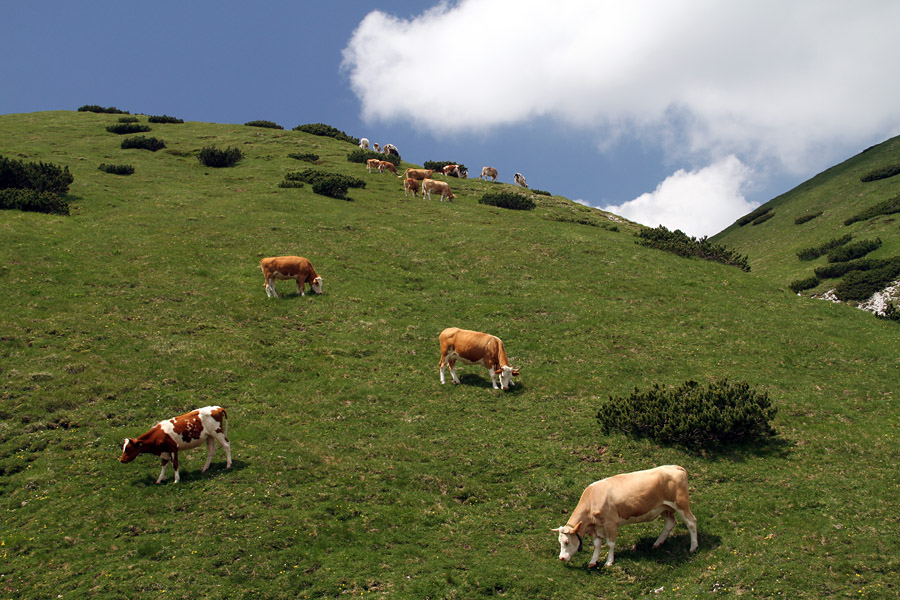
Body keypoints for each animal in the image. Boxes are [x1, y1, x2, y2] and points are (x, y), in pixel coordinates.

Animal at [552, 464, 700, 568]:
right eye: (559, 542)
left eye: (567, 541)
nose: (561, 558)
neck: (593, 497)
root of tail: (675, 467)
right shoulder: (596, 527)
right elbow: (597, 544)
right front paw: (593, 561)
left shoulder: (611, 523)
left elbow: (610, 543)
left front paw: (609, 561)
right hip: (664, 507)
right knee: (670, 523)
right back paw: (657, 543)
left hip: (681, 504)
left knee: (691, 522)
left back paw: (693, 547)